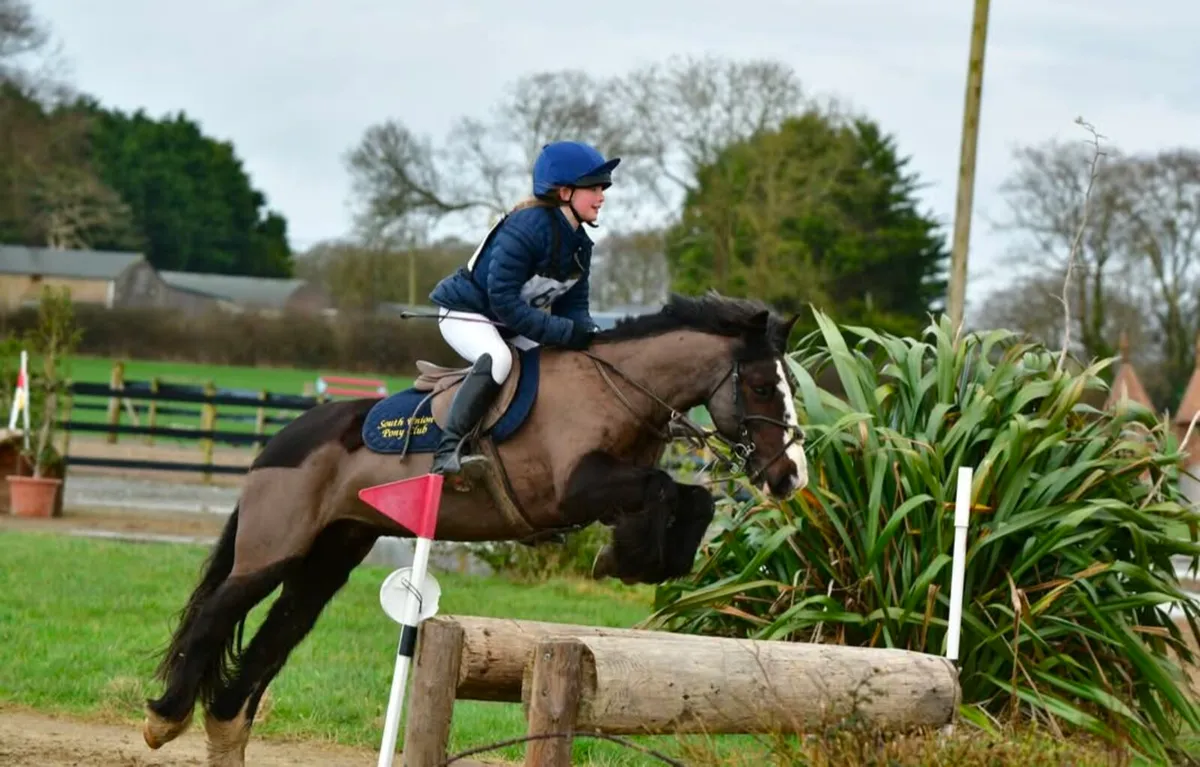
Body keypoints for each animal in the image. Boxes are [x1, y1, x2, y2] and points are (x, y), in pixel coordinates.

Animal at [141, 291, 809, 765]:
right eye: (759, 385)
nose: (791, 477)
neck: (617, 390)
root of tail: (278, 441)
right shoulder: (572, 490)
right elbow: (667, 490)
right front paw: (628, 558)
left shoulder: (608, 491)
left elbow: (690, 499)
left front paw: (639, 559)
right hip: (278, 546)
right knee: (219, 610)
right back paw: (164, 719)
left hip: (333, 553)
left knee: (279, 630)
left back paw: (225, 733)